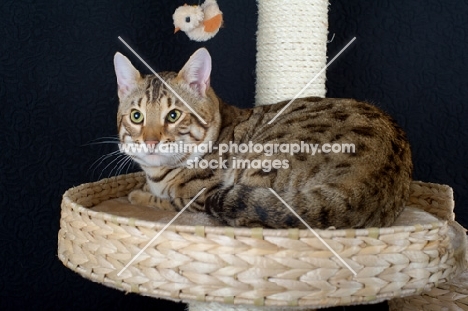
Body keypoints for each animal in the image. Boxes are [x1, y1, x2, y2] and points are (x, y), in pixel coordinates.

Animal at [113, 48, 414, 229]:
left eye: (174, 115)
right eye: (137, 116)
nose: (150, 141)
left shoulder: (199, 197)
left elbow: (168, 200)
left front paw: (138, 195)